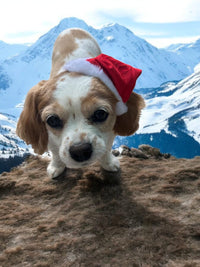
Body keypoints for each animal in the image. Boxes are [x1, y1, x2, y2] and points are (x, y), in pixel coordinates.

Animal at [16, 28, 145, 179]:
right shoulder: (49, 135)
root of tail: (72, 28)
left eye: (100, 114)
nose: (80, 151)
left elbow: (107, 148)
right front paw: (56, 167)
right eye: (52, 120)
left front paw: (108, 163)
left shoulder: (110, 129)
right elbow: (55, 152)